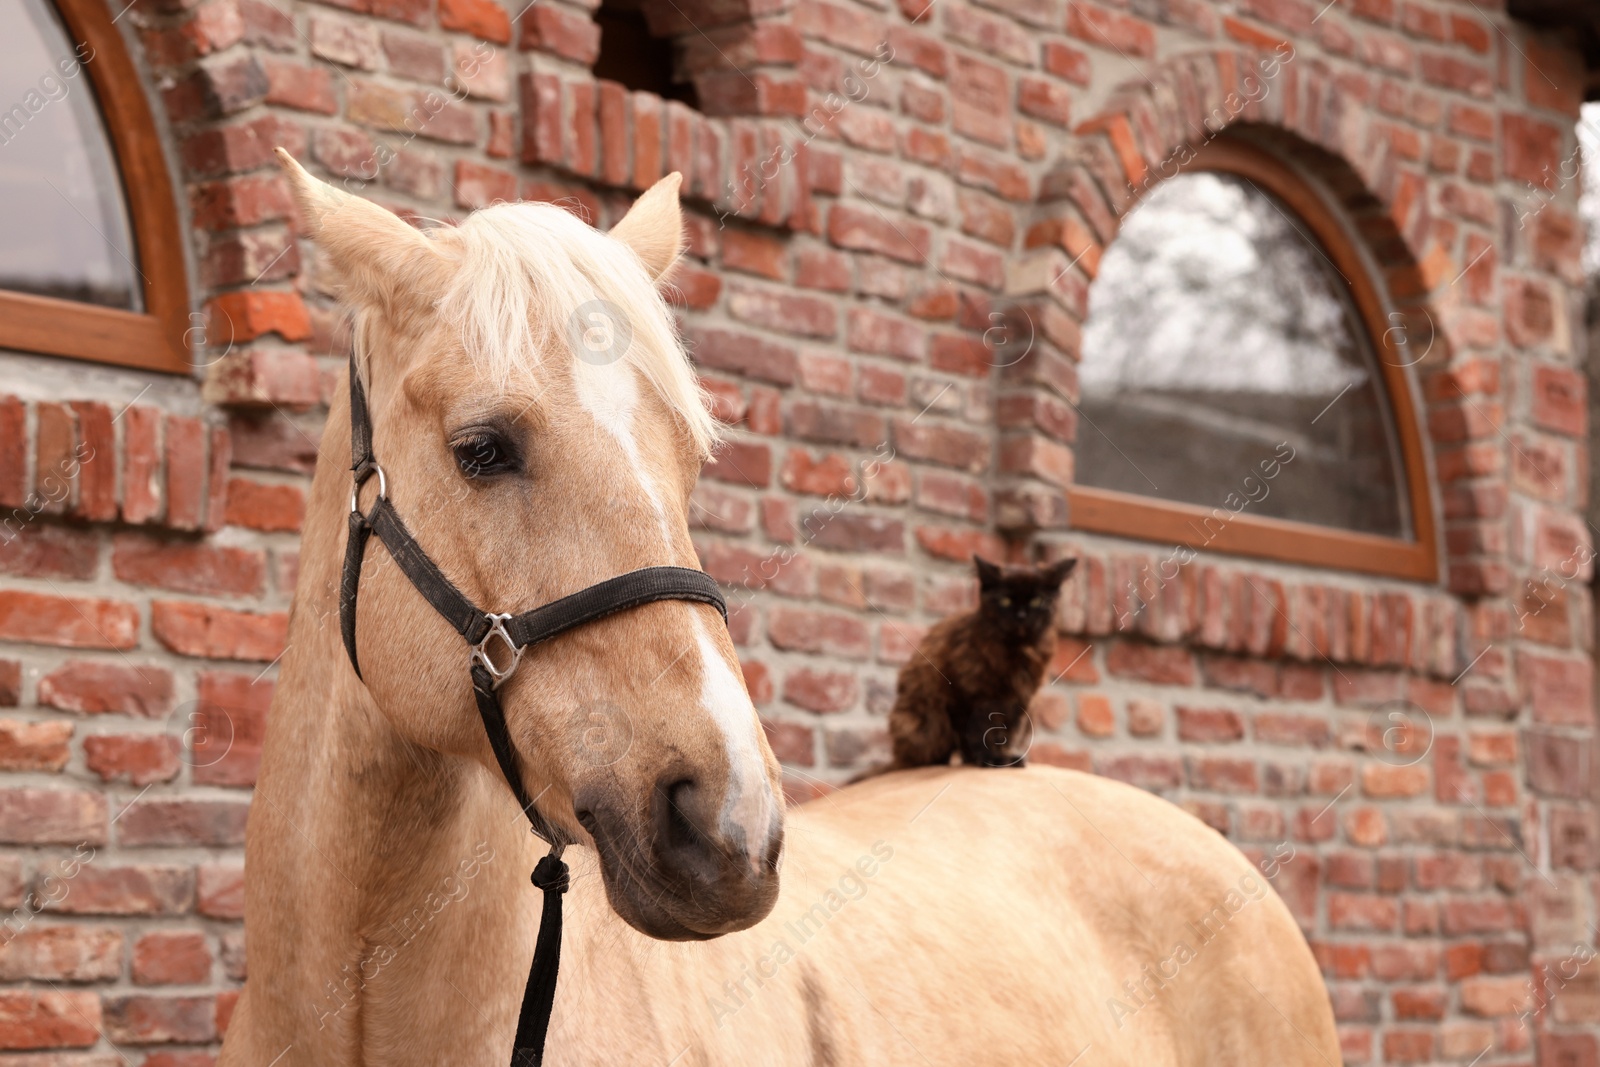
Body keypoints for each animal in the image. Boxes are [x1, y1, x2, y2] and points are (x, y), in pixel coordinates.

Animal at [883, 556, 1081, 771]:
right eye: (1005, 601)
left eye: (1037, 601)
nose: (1021, 616)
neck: (1016, 652)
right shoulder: (967, 698)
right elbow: (979, 733)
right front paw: (991, 759)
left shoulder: (1022, 699)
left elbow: (1006, 733)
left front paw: (1005, 757)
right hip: (922, 720)